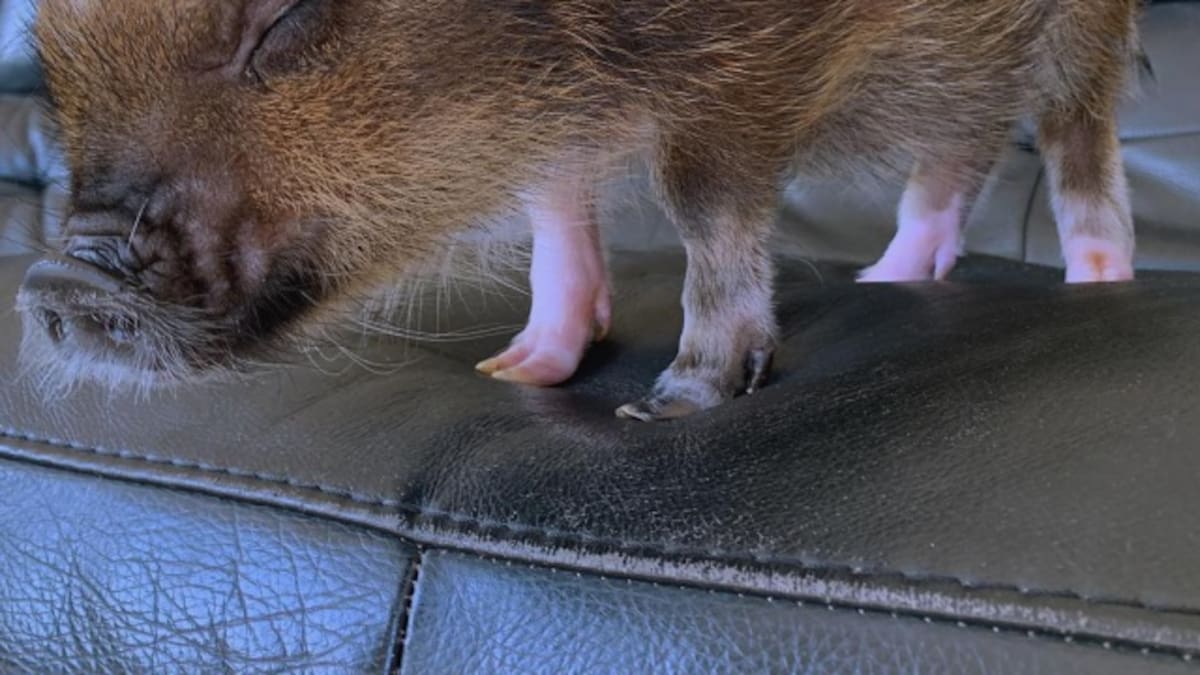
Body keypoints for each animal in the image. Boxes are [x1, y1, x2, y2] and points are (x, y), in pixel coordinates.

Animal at [18, 0, 1143, 420]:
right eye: (48, 49)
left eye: (285, 13)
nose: (57, 278)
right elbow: (554, 204)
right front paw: (516, 372)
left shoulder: (740, 77)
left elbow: (707, 210)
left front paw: (672, 403)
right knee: (963, 148)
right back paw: (888, 277)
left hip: (1087, 30)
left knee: (1079, 138)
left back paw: (1101, 286)